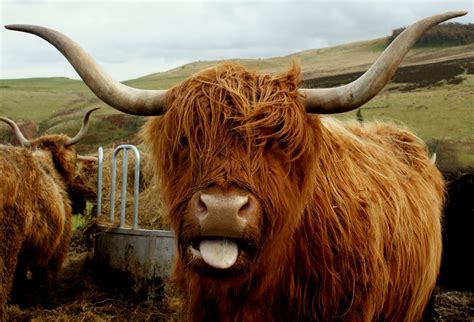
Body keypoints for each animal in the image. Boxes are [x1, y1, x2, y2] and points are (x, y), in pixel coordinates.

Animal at [0, 109, 98, 320]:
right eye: (75, 166)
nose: (80, 204)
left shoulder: (26, 252)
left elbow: (21, 279)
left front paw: (20, 301)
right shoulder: (56, 246)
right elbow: (47, 277)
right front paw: (49, 303)